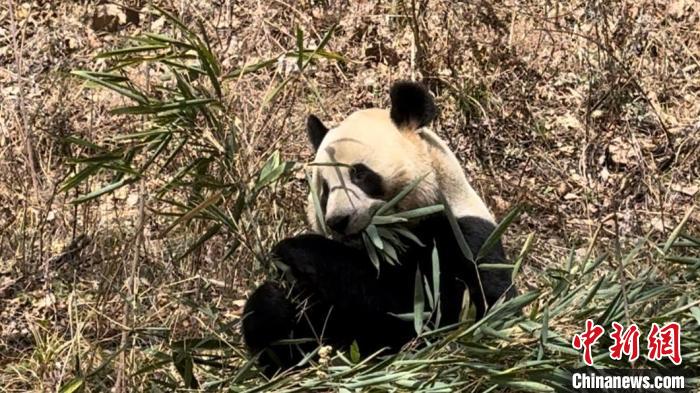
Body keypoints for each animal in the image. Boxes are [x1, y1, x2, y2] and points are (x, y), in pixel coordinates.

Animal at [243, 79, 516, 374]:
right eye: (324, 190)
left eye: (359, 174)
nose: (338, 221)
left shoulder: (463, 238)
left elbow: (433, 313)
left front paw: (297, 249)